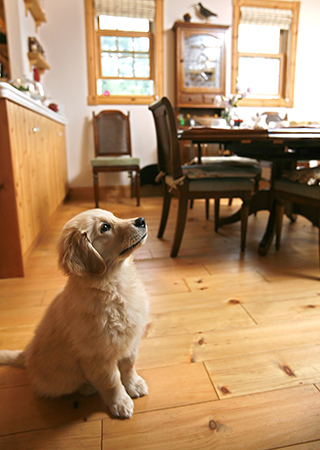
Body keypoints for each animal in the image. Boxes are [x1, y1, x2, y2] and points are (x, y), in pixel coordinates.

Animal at [0, 210, 149, 418]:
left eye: (114, 217)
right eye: (105, 227)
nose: (141, 220)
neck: (115, 286)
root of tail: (26, 355)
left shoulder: (131, 341)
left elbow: (128, 366)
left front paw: (134, 385)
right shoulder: (98, 357)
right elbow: (112, 381)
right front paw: (120, 403)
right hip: (61, 380)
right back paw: (87, 387)